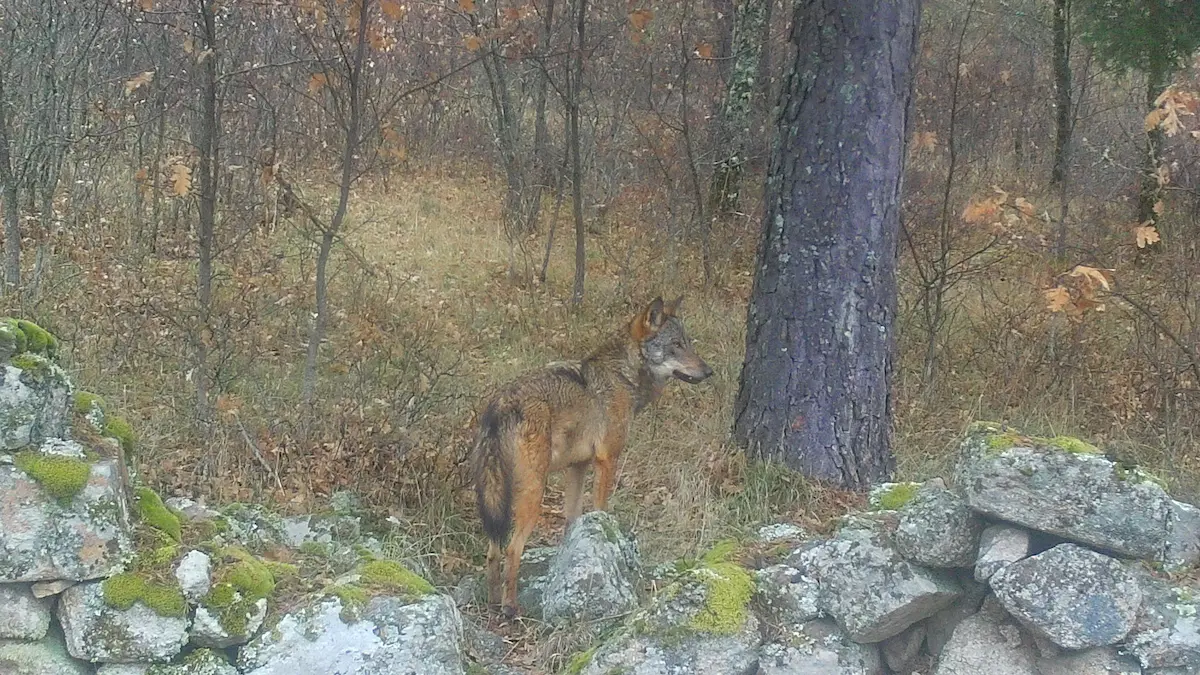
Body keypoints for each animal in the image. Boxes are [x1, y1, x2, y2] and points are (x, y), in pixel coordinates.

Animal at [471, 296, 713, 617]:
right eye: (675, 344)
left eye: (688, 342)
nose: (708, 371)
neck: (622, 376)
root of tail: (501, 403)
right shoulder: (607, 460)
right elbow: (601, 511)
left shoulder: (578, 467)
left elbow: (572, 520)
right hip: (533, 492)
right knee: (513, 548)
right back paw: (511, 608)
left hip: (496, 496)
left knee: (493, 550)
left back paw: (493, 602)